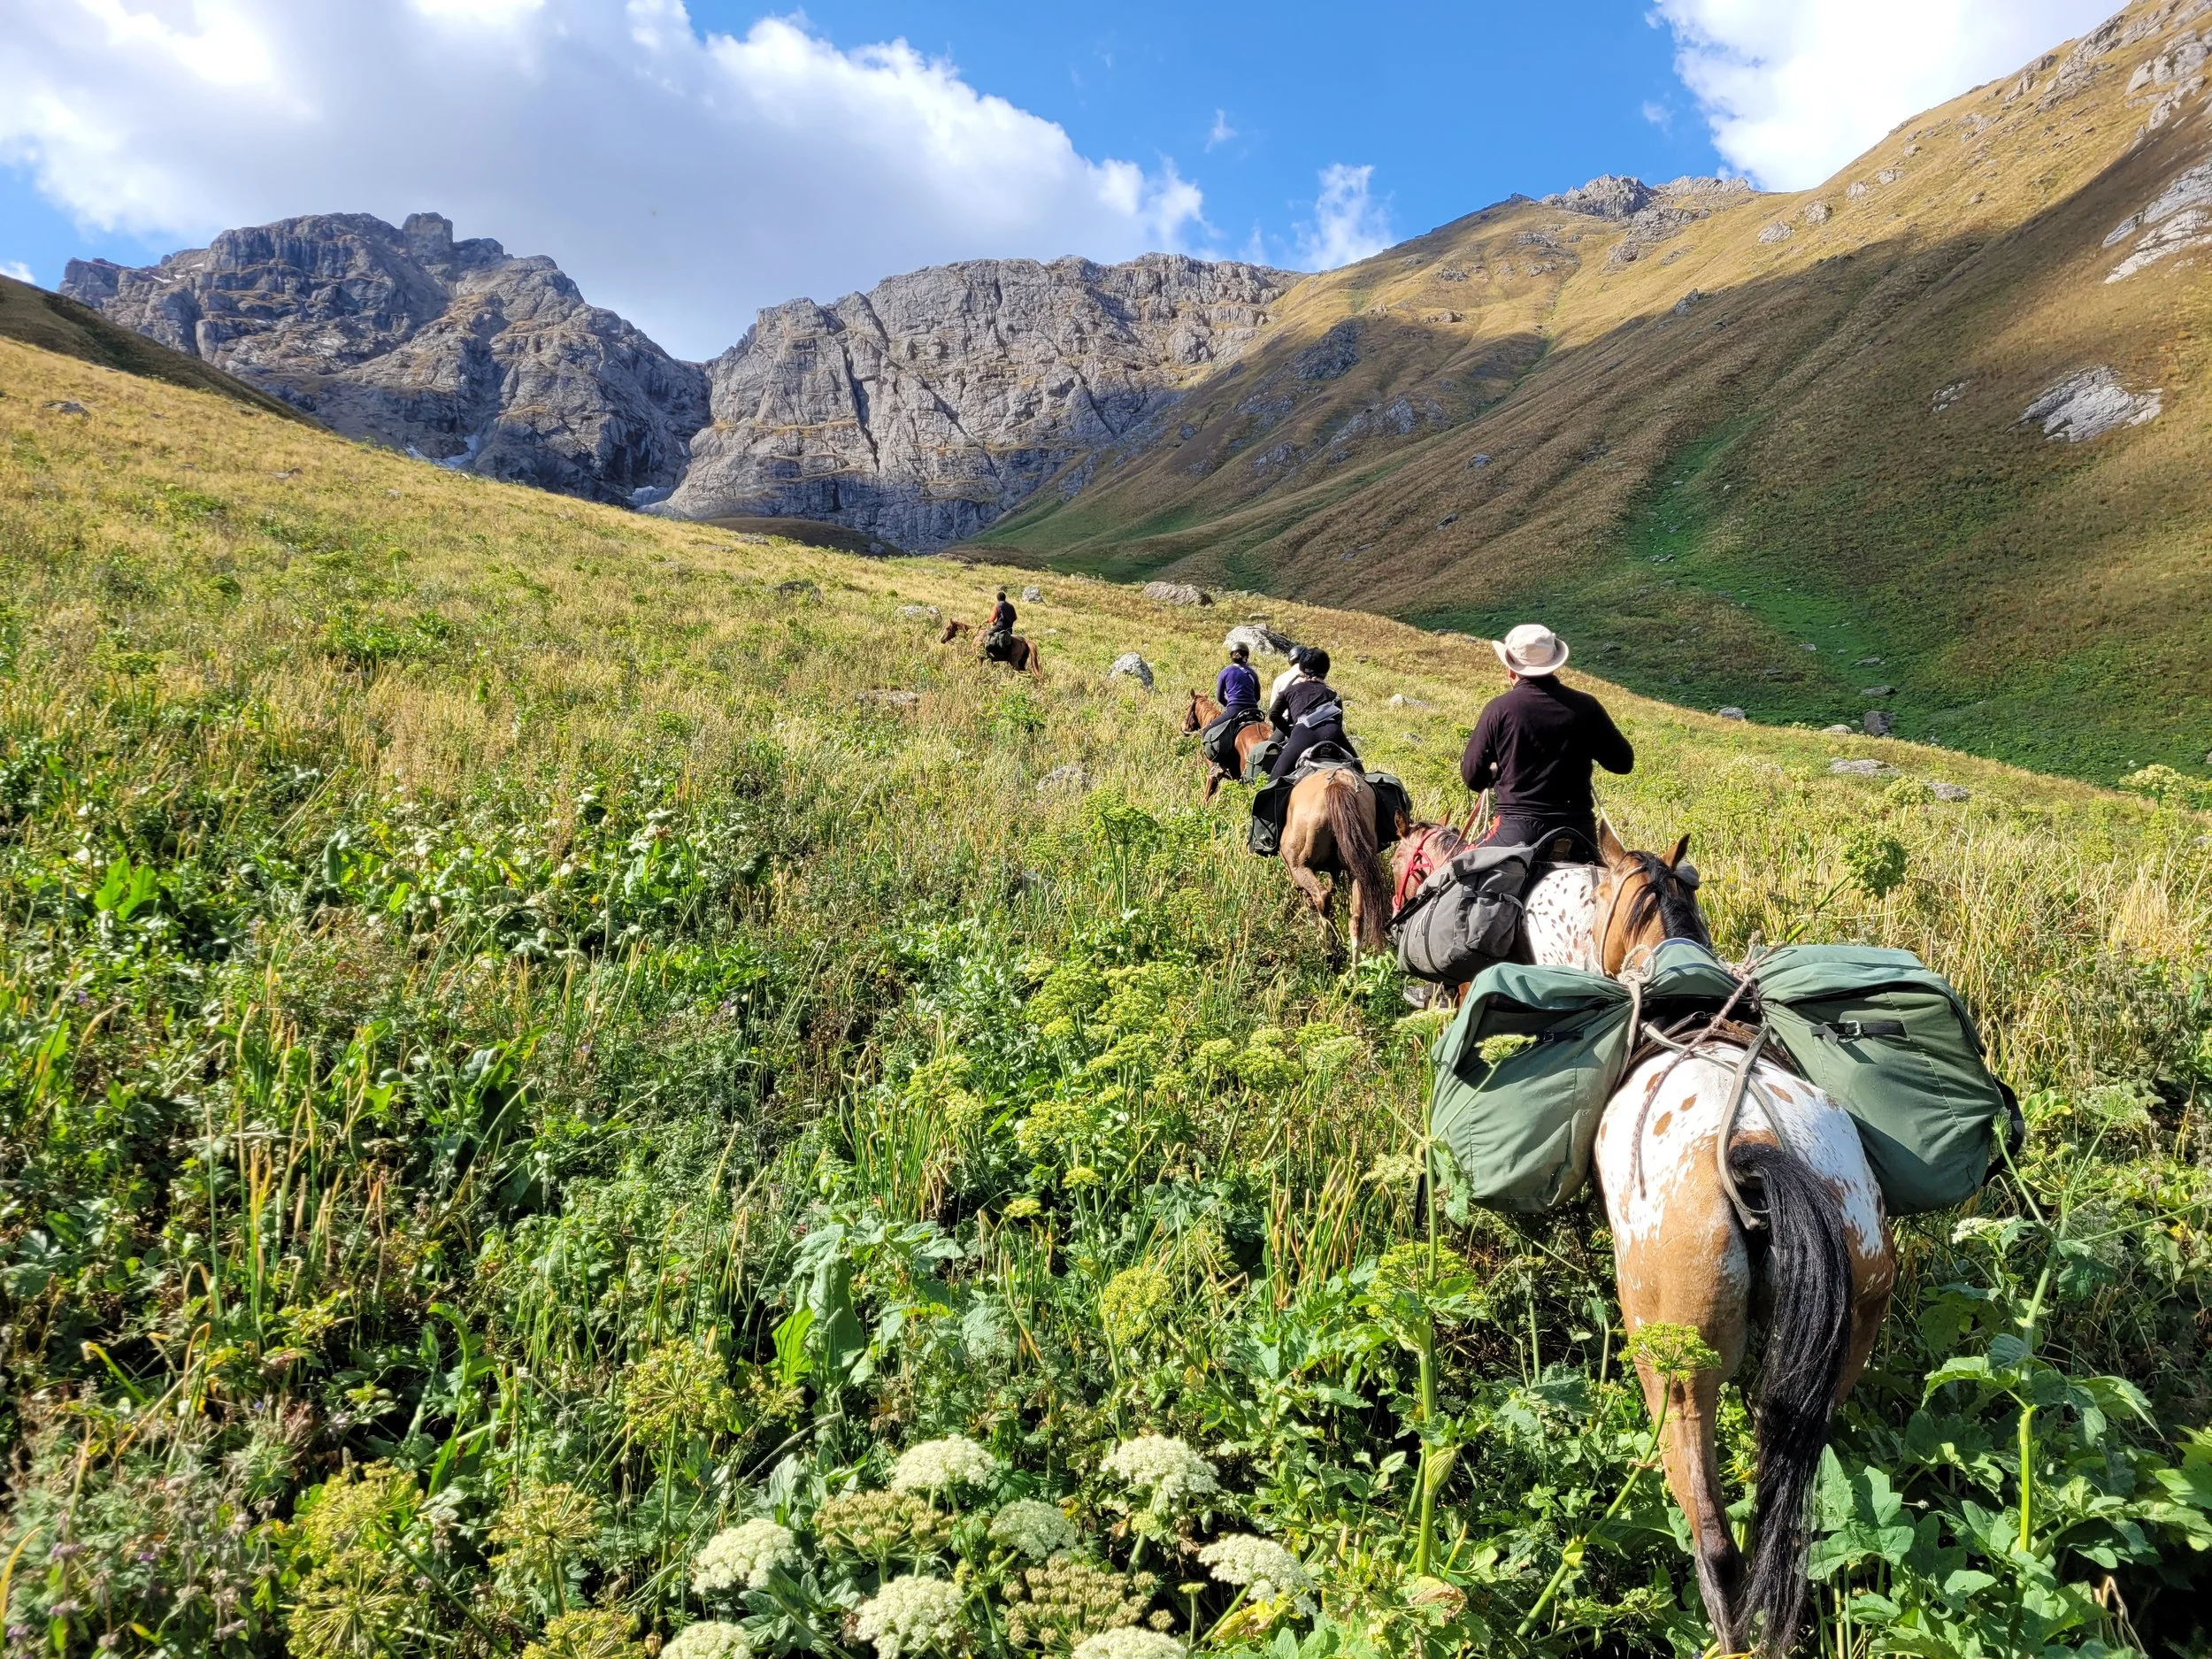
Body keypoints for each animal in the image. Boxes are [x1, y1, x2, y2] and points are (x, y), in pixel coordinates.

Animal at [1278, 764, 1393, 955]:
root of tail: (1337, 783)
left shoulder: (1295, 868)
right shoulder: (1335, 869)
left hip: (1300, 866)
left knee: (1321, 898)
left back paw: (1326, 950)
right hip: (1358, 870)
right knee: (1357, 917)